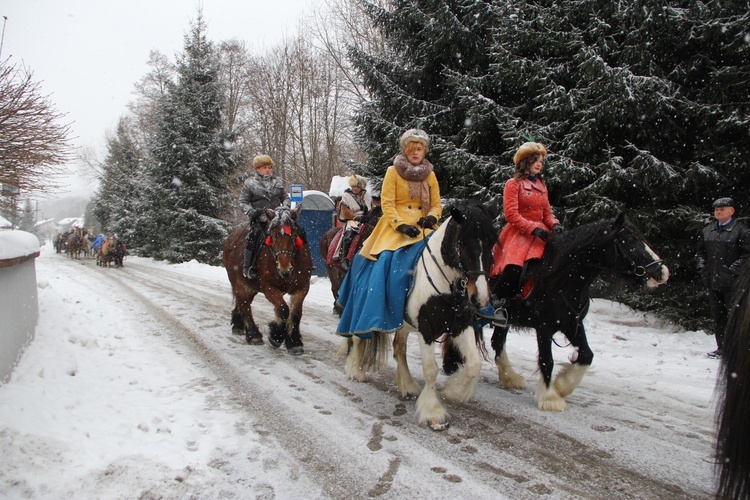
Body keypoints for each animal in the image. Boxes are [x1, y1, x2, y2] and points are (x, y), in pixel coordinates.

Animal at [225, 205, 316, 354]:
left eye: (294, 235)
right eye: (272, 235)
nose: (285, 268)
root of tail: (230, 238)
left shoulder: (302, 288)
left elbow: (296, 314)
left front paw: (294, 342)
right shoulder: (269, 287)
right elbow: (283, 309)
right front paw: (276, 337)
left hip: (250, 286)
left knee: (243, 302)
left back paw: (238, 324)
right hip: (238, 282)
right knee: (245, 304)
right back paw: (253, 335)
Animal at [346, 199, 500, 430]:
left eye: (492, 243)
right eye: (463, 243)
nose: (480, 298)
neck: (447, 285)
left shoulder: (461, 327)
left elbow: (474, 364)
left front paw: (454, 391)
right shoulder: (426, 330)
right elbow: (430, 369)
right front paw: (433, 412)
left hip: (403, 325)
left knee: (399, 349)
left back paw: (407, 386)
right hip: (361, 310)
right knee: (357, 338)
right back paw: (356, 371)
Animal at [456, 213, 672, 412]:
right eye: (629, 242)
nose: (662, 273)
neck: (561, 277)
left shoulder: (571, 323)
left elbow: (586, 355)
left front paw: (562, 385)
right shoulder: (544, 327)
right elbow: (547, 361)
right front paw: (549, 397)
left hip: (505, 319)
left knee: (498, 342)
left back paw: (510, 377)